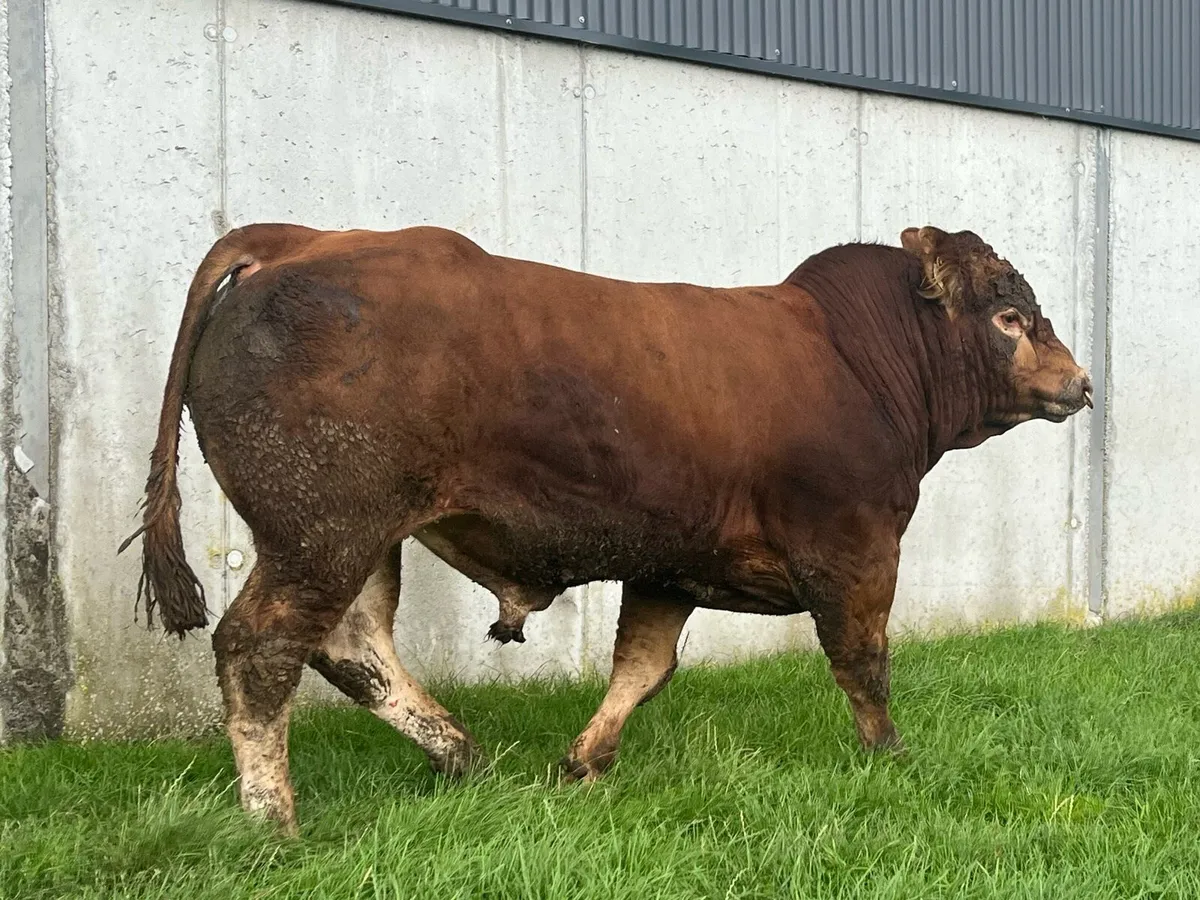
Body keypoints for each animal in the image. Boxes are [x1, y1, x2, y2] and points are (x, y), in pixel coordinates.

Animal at [121, 222, 1091, 834]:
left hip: (359, 539)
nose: (1080, 383)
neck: (857, 361)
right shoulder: (854, 547)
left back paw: (462, 756)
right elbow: (864, 661)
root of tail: (298, 237)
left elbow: (643, 668)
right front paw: (890, 756)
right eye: (1009, 318)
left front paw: (583, 762)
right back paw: (273, 820)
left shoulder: (669, 563)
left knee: (353, 645)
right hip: (322, 529)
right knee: (261, 650)